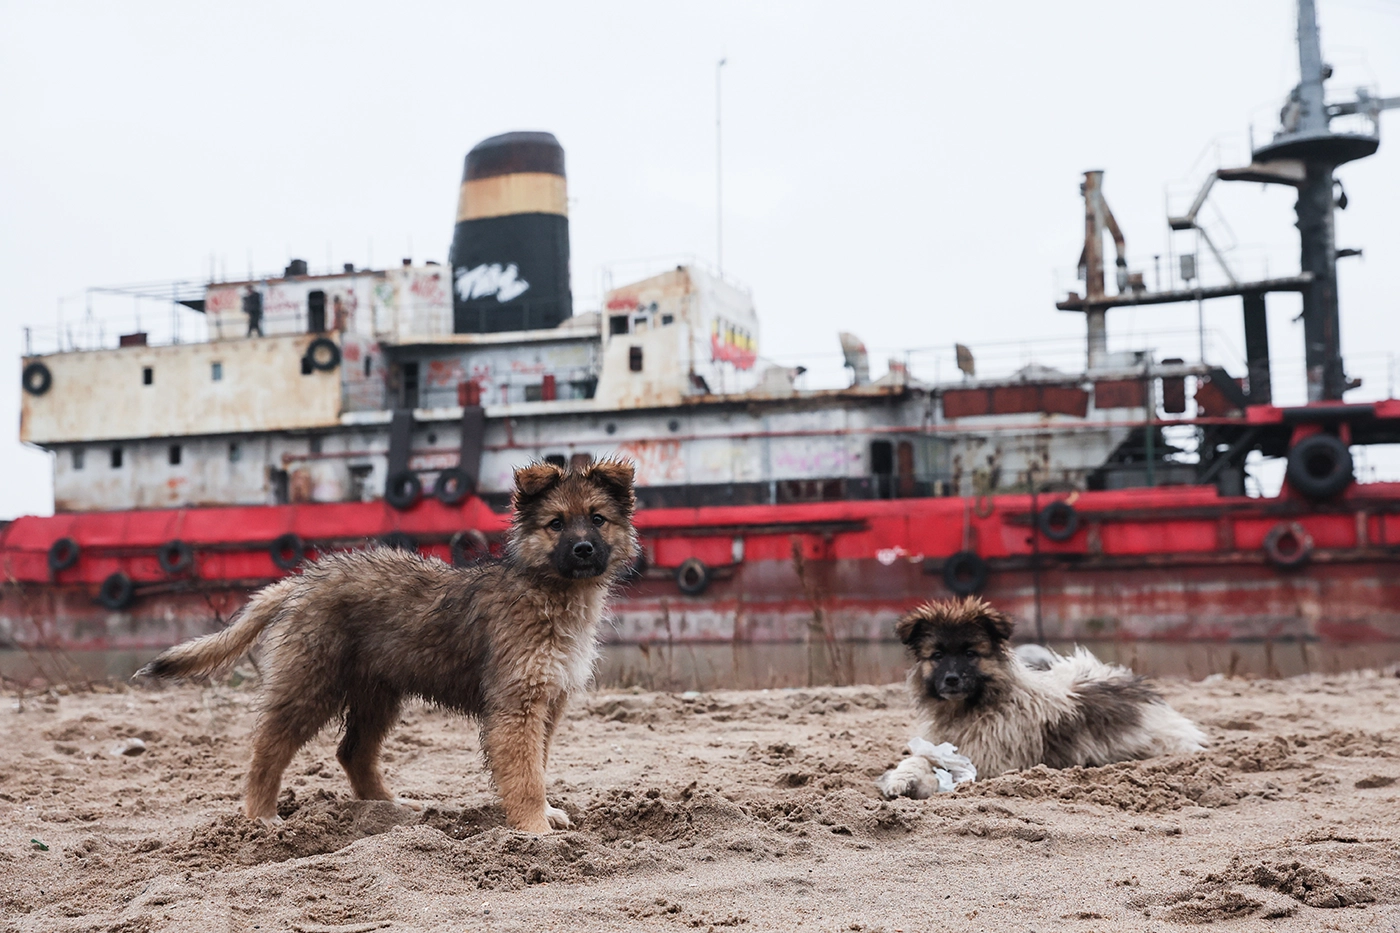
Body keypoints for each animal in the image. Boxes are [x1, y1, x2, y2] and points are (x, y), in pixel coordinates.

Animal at [133, 456, 638, 829]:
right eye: (556, 524)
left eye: (597, 519)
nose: (583, 550)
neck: (550, 592)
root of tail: (303, 581)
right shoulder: (518, 706)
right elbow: (526, 775)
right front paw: (535, 828)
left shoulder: (548, 703)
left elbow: (538, 765)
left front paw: (546, 815)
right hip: (311, 684)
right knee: (268, 748)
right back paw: (262, 816)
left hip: (378, 693)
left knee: (352, 752)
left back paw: (388, 807)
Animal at [884, 591, 1204, 795]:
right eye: (937, 655)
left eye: (971, 654)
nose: (951, 680)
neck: (975, 706)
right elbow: (918, 759)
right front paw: (899, 779)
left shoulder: (988, 761)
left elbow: (934, 765)